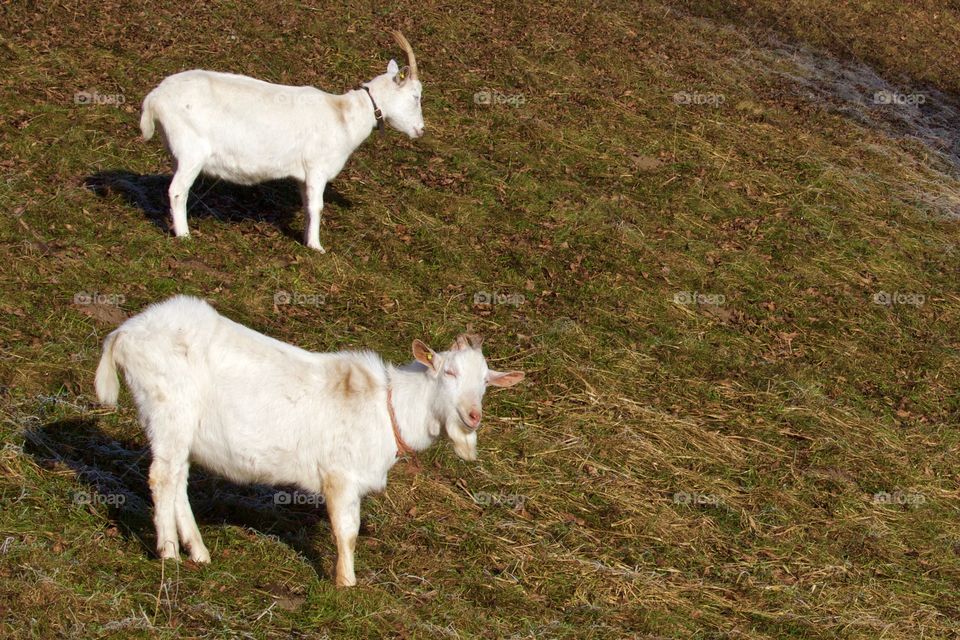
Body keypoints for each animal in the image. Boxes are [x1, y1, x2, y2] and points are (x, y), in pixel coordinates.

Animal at [93, 296, 524, 584]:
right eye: (449, 372)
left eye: (485, 382)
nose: (473, 415)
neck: (388, 406)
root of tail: (124, 333)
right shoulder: (342, 476)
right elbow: (347, 531)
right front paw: (346, 585)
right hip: (169, 410)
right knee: (162, 477)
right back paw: (168, 553)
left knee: (177, 477)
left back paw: (199, 552)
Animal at [140, 31, 424, 252]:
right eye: (416, 96)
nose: (421, 130)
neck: (343, 114)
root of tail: (155, 98)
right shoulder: (317, 167)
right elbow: (318, 207)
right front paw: (317, 248)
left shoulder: (302, 175)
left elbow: (308, 206)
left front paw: (307, 240)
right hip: (192, 151)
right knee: (178, 190)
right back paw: (184, 236)